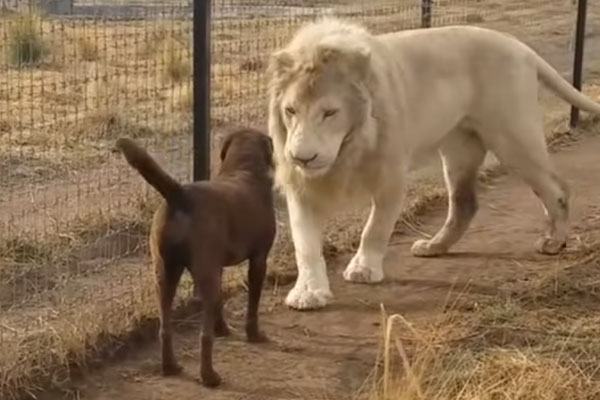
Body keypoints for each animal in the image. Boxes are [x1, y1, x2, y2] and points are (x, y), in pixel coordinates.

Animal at [115, 128, 276, 388]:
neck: (242, 169)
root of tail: (179, 194)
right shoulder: (259, 259)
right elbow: (252, 304)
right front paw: (254, 334)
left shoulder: (217, 266)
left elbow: (220, 303)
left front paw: (222, 328)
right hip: (202, 274)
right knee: (204, 336)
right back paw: (209, 376)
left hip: (165, 272)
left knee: (165, 328)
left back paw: (170, 367)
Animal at [268, 18, 600, 310]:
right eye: (290, 110)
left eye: (330, 113)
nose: (302, 157)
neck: (347, 150)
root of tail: (519, 45)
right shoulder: (300, 187)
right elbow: (305, 244)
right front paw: (308, 293)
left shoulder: (391, 174)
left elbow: (375, 228)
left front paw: (364, 269)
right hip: (458, 149)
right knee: (465, 204)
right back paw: (434, 247)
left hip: (513, 137)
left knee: (557, 189)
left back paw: (554, 241)